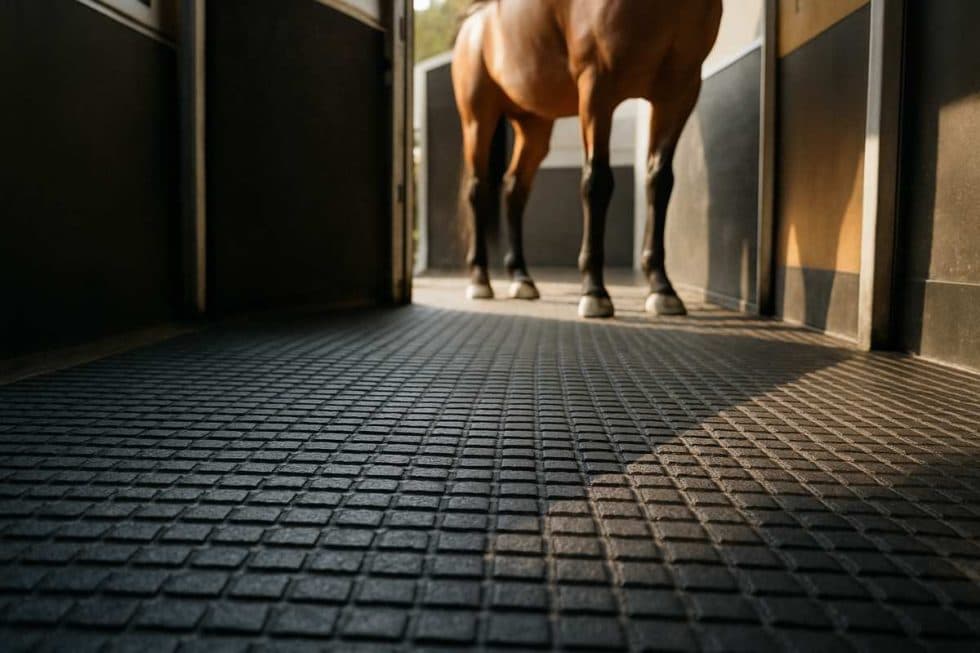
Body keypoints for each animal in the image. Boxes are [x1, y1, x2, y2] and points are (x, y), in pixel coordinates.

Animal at [452, 0, 722, 317]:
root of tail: (473, 22)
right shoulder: (597, 85)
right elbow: (597, 181)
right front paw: (594, 292)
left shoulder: (680, 90)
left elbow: (660, 181)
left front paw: (662, 288)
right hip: (478, 120)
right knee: (478, 191)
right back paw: (480, 279)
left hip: (533, 125)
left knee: (514, 189)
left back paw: (521, 278)